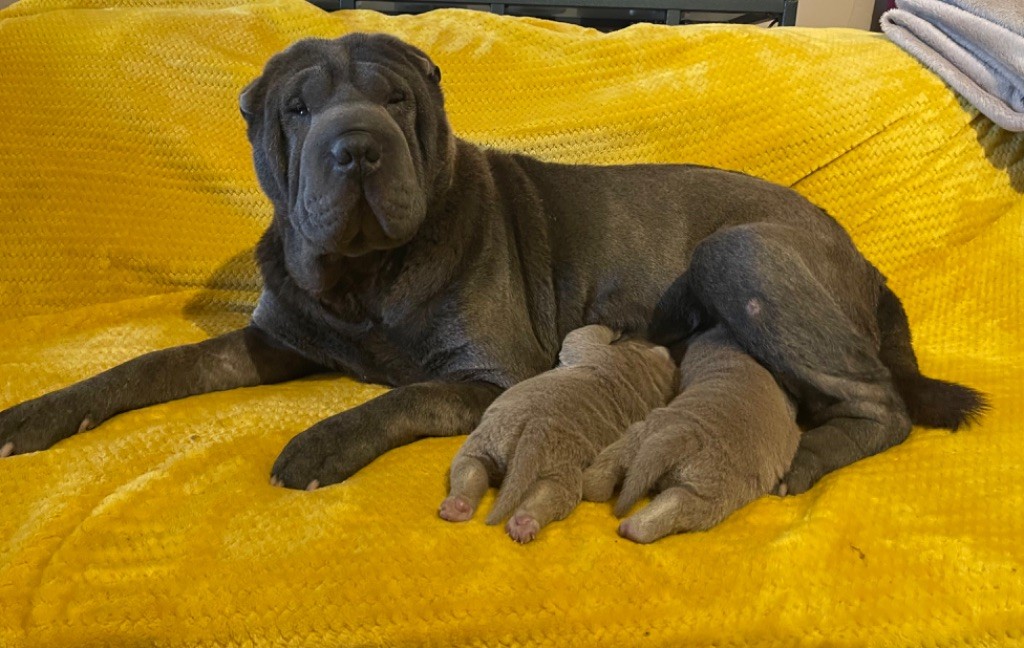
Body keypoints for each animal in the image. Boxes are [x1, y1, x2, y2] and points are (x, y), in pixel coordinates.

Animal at [436, 323, 675, 540]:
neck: (639, 373)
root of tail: (536, 430)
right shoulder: (604, 356)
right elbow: (580, 338)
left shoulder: (598, 353)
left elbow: (579, 336)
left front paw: (612, 330)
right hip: (496, 443)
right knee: (474, 469)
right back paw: (460, 508)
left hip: (533, 456)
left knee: (546, 491)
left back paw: (519, 522)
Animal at [585, 321, 798, 540]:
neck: (730, 354)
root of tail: (683, 434)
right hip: (716, 491)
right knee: (682, 503)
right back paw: (631, 528)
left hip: (639, 437)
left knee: (603, 477)